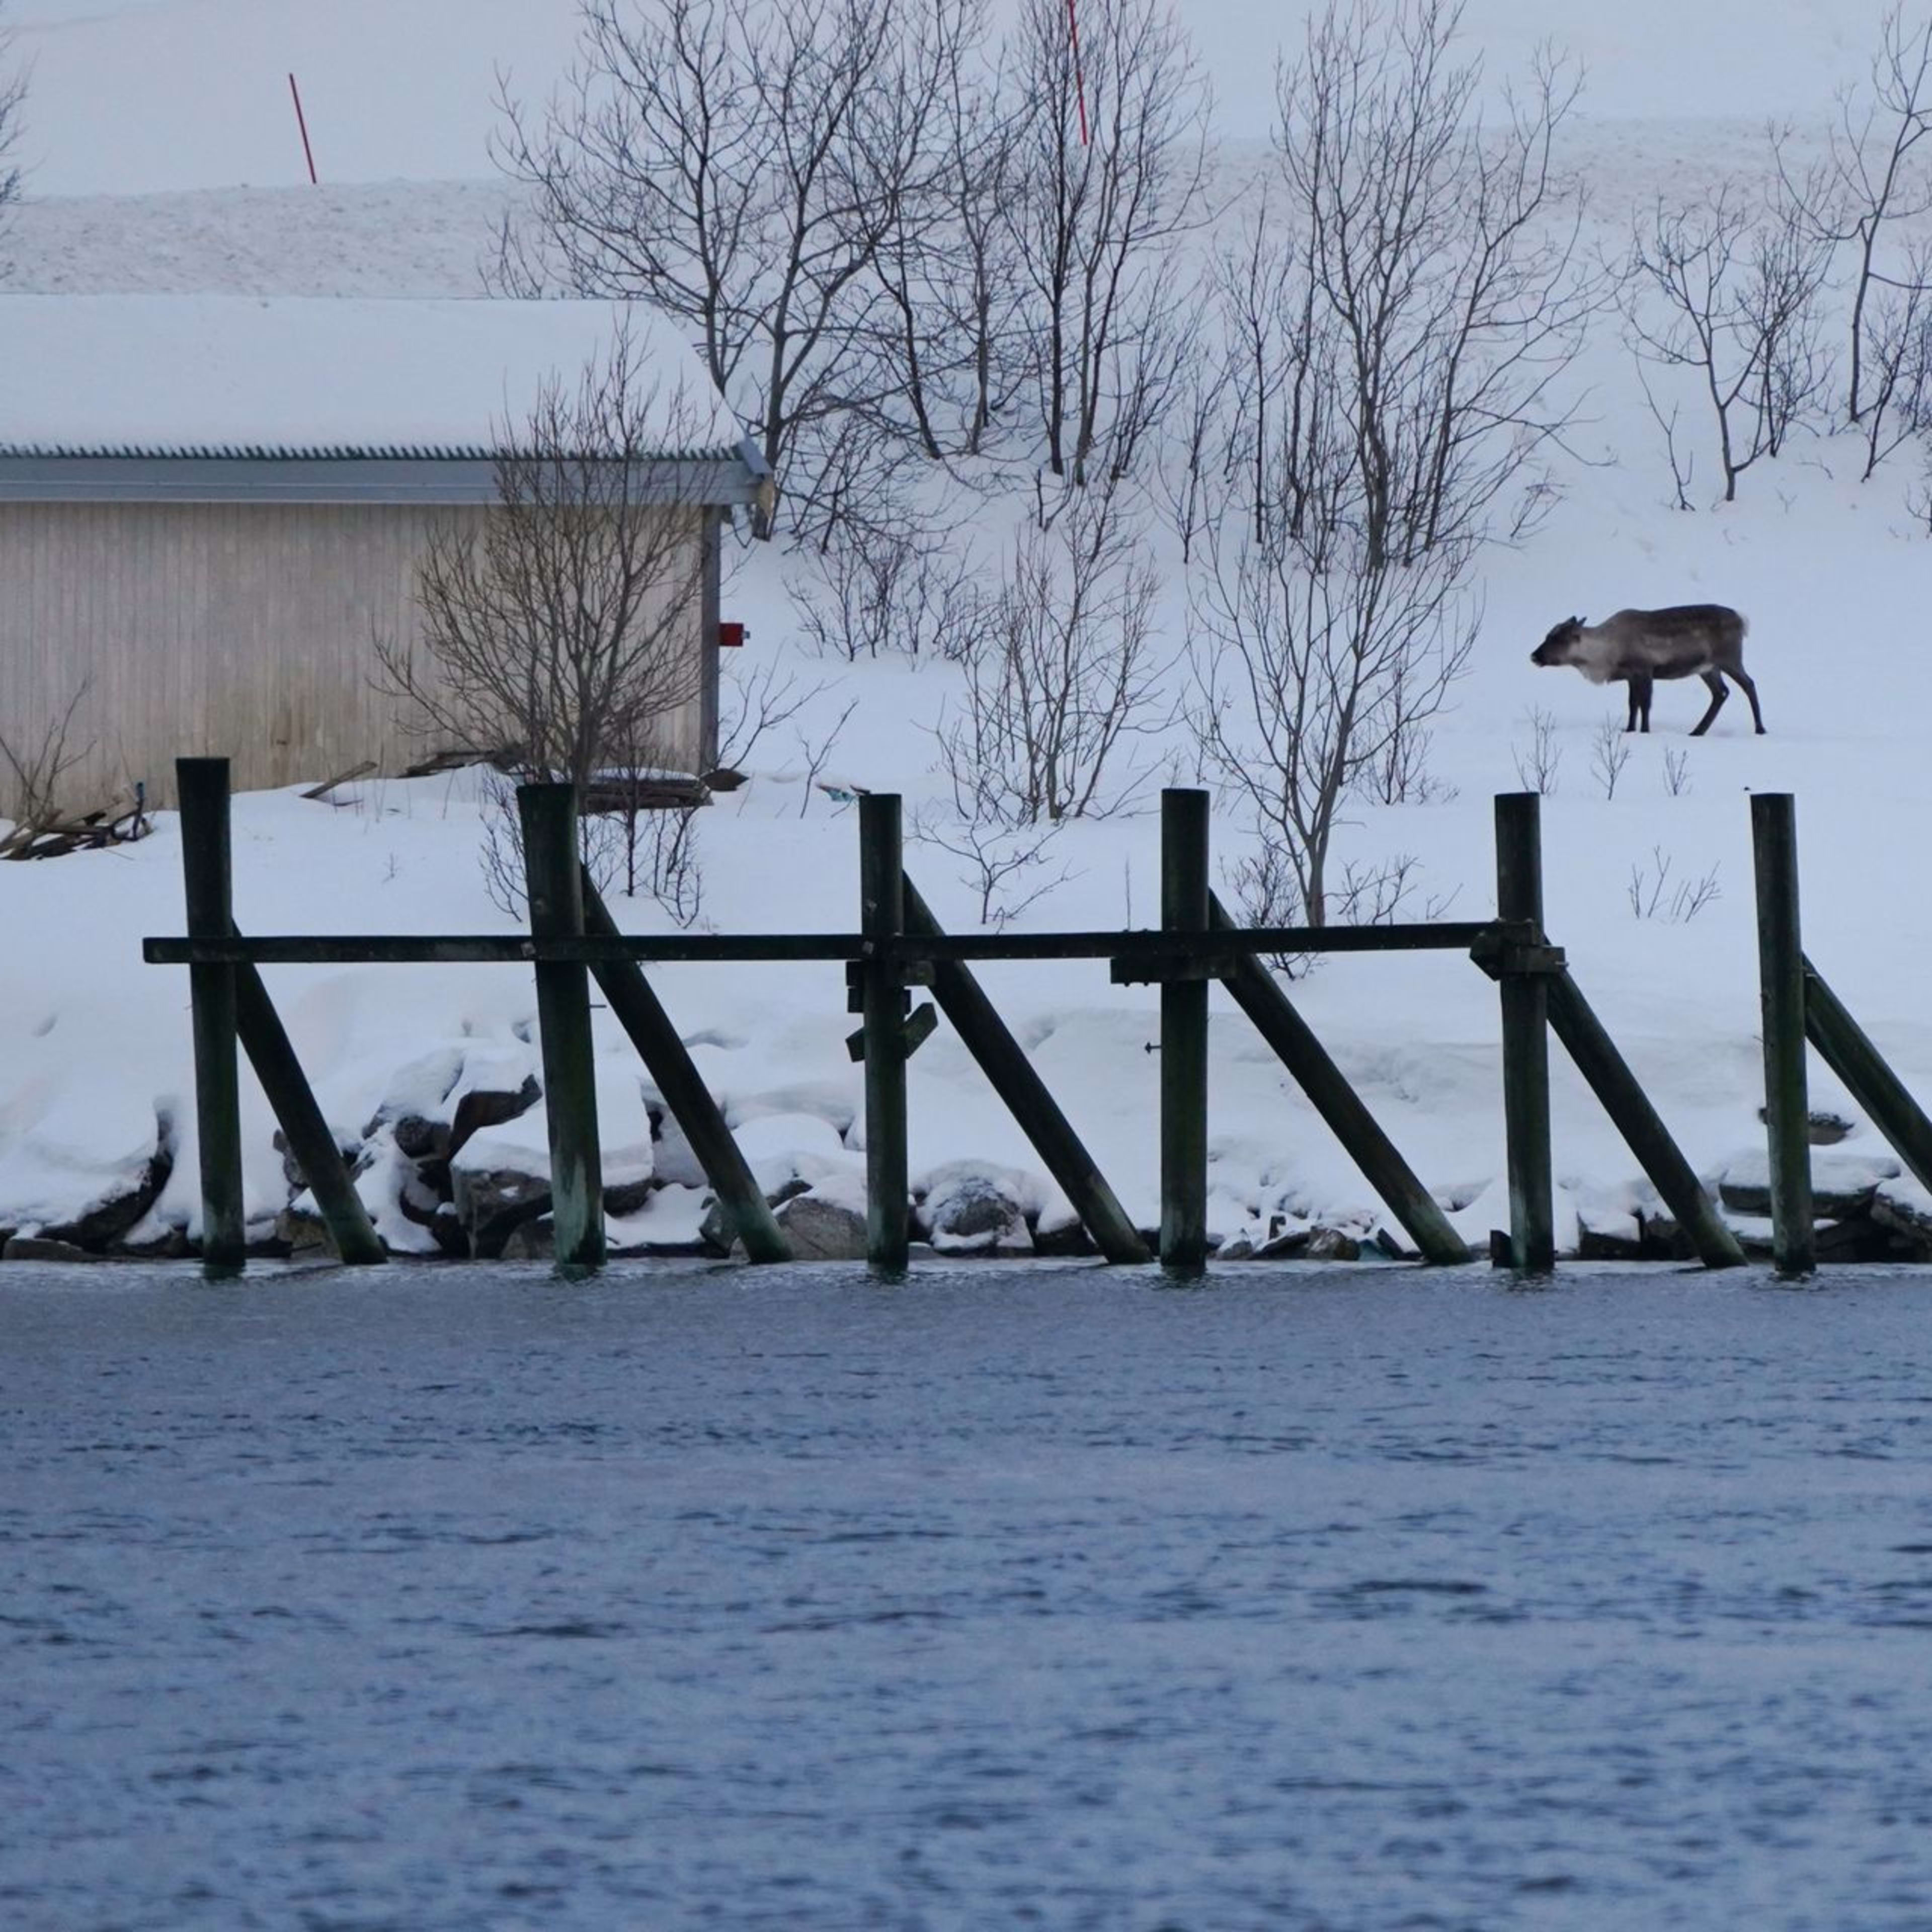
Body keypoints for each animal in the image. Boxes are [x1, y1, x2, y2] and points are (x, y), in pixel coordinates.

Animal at [1531, 605, 1764, 736]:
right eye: (1548, 635)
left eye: (1557, 638)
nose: (1534, 656)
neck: (1607, 653)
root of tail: (1742, 620)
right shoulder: (1631, 677)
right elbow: (1632, 705)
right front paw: (1630, 729)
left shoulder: (1645, 670)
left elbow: (1645, 704)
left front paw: (1645, 731)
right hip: (1708, 668)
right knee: (1721, 693)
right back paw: (1697, 731)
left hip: (1729, 659)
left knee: (1749, 684)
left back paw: (1760, 729)